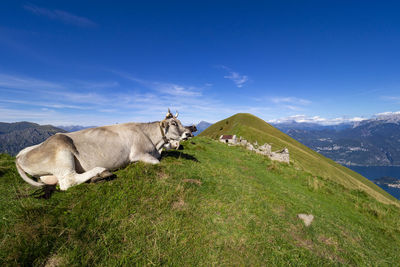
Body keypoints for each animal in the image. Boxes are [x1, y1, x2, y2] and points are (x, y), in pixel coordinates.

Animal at [14, 110, 192, 192]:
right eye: (174, 123)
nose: (189, 133)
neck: (155, 144)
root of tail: (18, 157)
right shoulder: (138, 153)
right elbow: (156, 162)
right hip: (61, 148)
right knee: (68, 181)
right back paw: (101, 171)